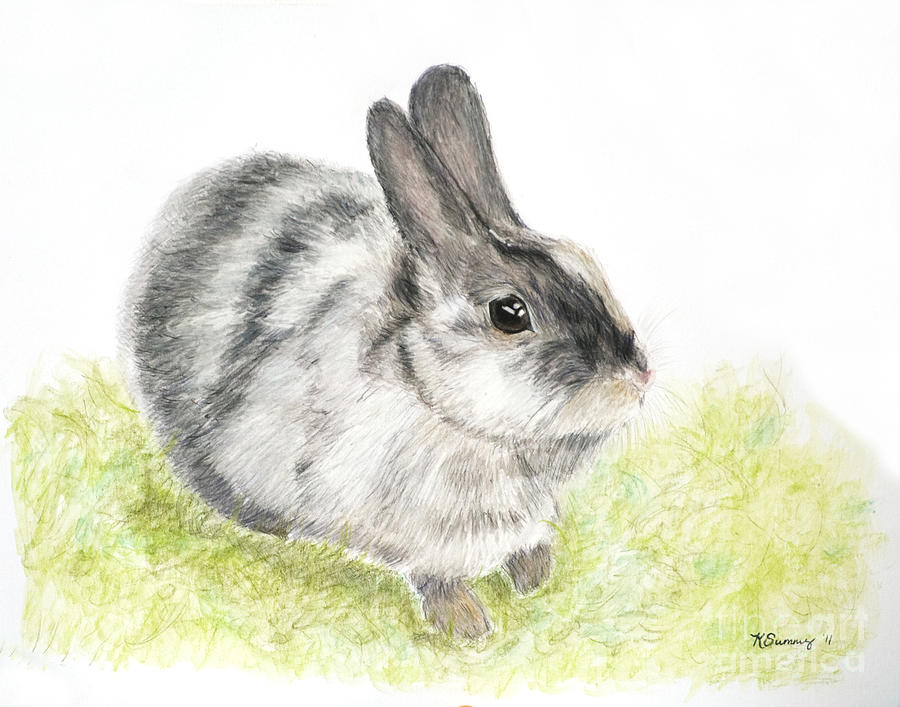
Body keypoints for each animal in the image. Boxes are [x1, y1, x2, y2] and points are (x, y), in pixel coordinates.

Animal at [121, 64, 654, 640]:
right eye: (509, 313)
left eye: (585, 265)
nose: (637, 379)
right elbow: (431, 572)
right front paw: (466, 623)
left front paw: (534, 577)